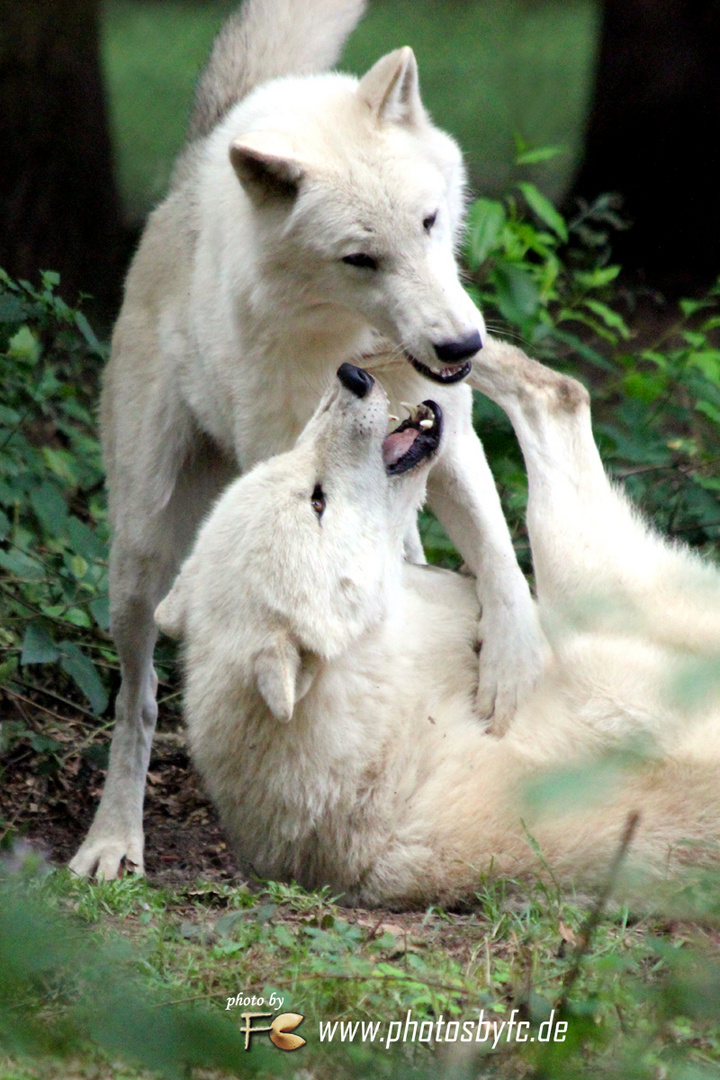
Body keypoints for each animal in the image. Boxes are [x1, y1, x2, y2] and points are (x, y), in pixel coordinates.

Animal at [73, 0, 546, 876]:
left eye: (430, 222)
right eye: (361, 258)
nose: (462, 345)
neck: (358, 343)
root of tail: (194, 162)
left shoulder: (445, 435)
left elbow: (500, 558)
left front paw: (510, 671)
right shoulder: (298, 461)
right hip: (140, 559)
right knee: (138, 701)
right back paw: (113, 839)